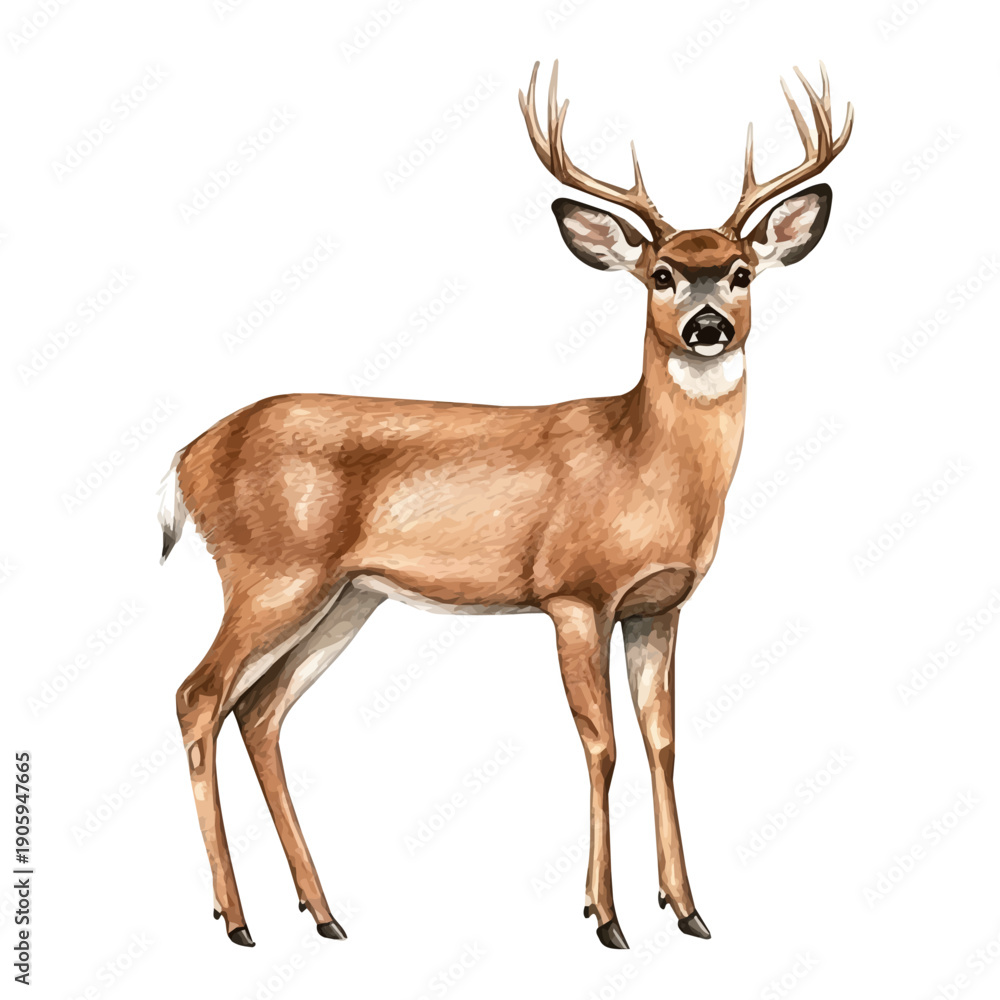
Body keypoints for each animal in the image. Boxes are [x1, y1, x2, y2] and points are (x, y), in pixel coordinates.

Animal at [160, 60, 852, 950]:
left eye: (739, 272)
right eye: (661, 273)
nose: (707, 328)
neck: (642, 462)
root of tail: (187, 456)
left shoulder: (659, 605)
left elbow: (662, 741)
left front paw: (688, 908)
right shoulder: (573, 593)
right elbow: (602, 744)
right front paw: (605, 915)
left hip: (346, 596)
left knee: (259, 711)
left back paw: (323, 913)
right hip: (271, 570)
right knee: (199, 695)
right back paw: (237, 918)